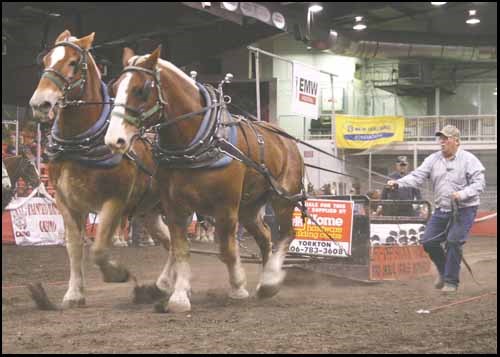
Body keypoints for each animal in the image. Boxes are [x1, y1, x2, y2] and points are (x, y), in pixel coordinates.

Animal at [28, 30, 172, 308]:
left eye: (73, 62)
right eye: (46, 61)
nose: (40, 103)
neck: (80, 144)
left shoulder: (114, 201)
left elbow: (99, 249)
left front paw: (117, 273)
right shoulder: (66, 202)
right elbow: (74, 247)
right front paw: (74, 294)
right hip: (149, 212)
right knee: (172, 242)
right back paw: (163, 286)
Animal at [103, 46, 302, 312]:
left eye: (141, 89)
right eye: (114, 87)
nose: (114, 139)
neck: (196, 142)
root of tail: (286, 139)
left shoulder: (225, 207)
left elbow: (227, 250)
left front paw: (237, 288)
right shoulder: (174, 207)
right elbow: (180, 250)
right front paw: (179, 296)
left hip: (283, 198)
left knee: (286, 234)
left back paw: (271, 280)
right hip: (249, 207)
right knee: (265, 236)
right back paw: (266, 278)